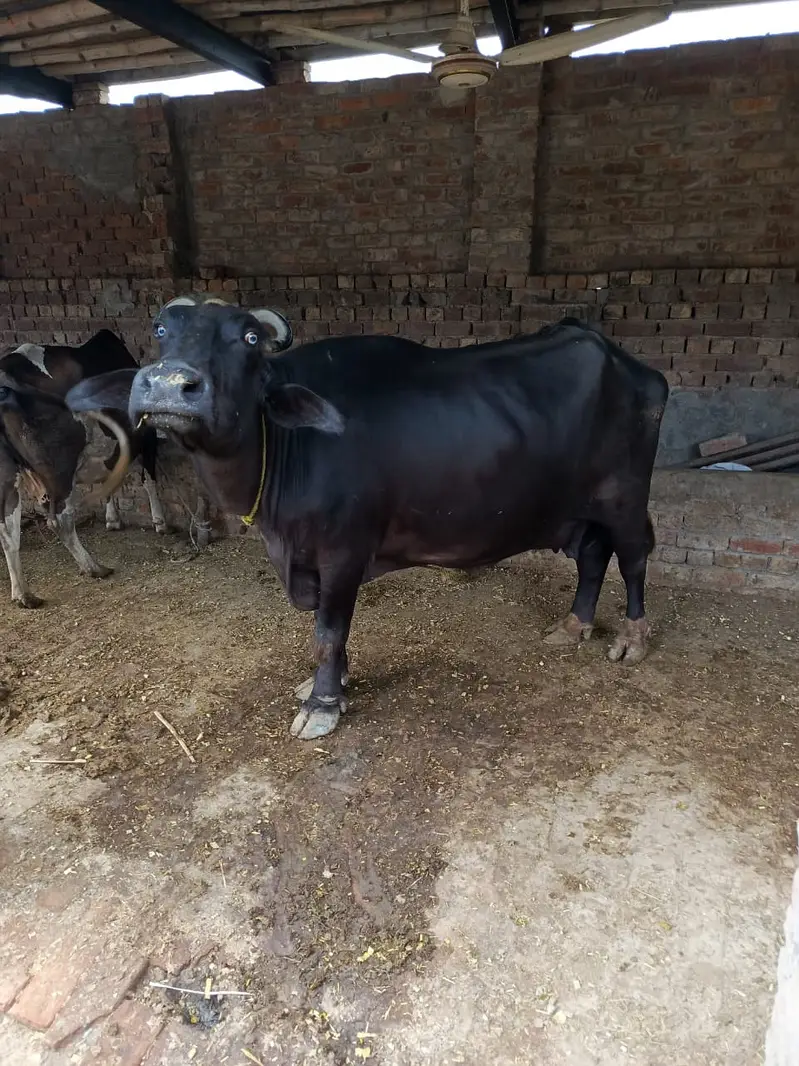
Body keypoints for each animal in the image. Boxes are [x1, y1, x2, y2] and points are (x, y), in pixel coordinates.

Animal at [0, 330, 160, 607]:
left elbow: (110, 481)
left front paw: (112, 519)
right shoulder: (146, 437)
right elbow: (149, 478)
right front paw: (160, 521)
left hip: (7, 474)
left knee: (8, 531)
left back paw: (24, 594)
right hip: (60, 467)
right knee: (59, 520)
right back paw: (94, 567)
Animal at [65, 297, 668, 742]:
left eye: (249, 339)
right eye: (161, 329)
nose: (170, 385)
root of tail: (629, 365)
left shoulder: (343, 552)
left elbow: (329, 630)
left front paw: (323, 702)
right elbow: (325, 631)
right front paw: (337, 681)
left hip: (625, 496)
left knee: (634, 557)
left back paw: (633, 638)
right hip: (582, 507)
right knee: (593, 556)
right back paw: (574, 625)